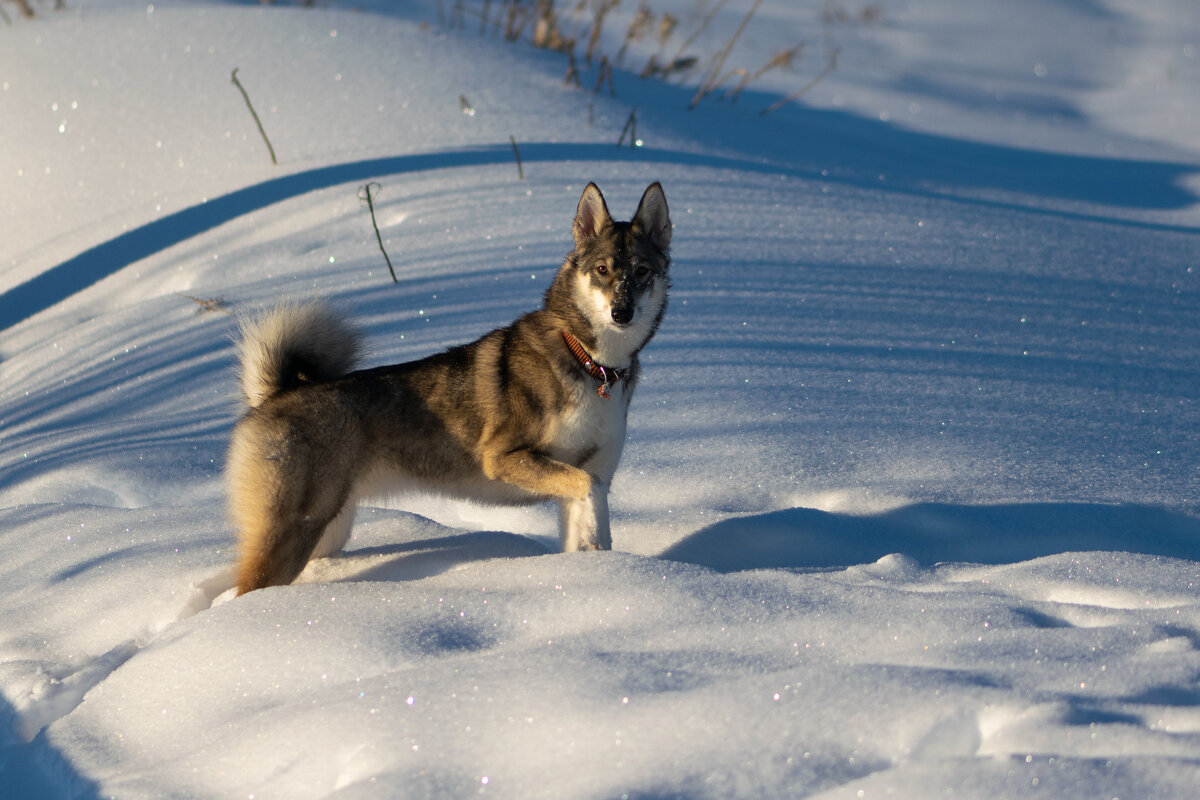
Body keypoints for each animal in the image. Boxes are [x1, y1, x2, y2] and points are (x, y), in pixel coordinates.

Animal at [229, 183, 672, 594]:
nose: (621, 312)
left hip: (328, 531)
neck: (590, 364)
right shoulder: (505, 458)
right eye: (602, 269)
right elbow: (591, 491)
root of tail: (275, 393)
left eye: (642, 272)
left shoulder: (585, 475)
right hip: (295, 533)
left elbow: (587, 514)